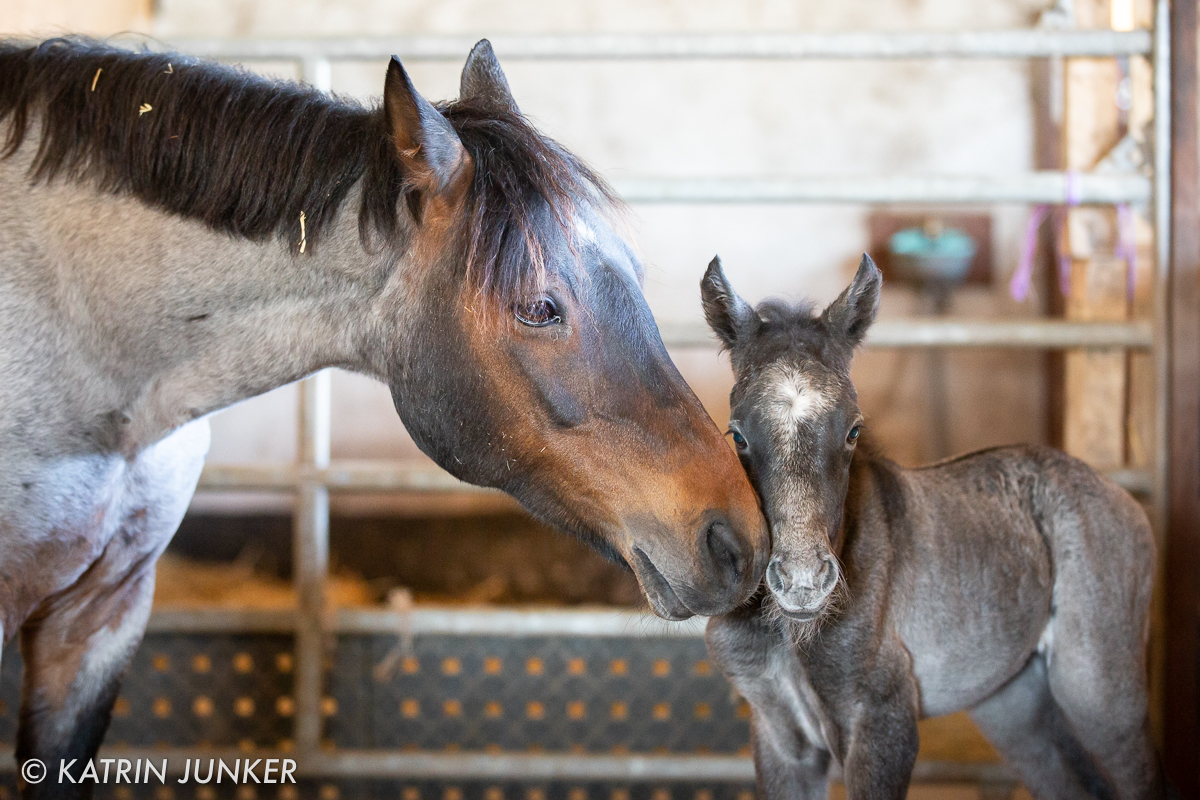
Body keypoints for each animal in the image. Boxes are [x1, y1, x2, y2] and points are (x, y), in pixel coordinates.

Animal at [700, 257, 1161, 800]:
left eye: (854, 430)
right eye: (738, 435)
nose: (802, 582)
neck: (796, 636)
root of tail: (1118, 494)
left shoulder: (883, 722)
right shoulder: (781, 737)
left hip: (1100, 693)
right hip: (1013, 704)